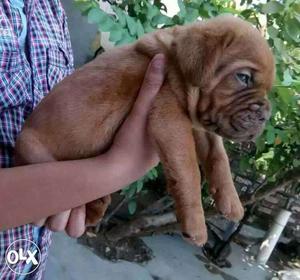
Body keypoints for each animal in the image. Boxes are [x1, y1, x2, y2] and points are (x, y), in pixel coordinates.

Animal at [15, 15, 276, 245]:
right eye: (243, 77)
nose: (265, 116)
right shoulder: (169, 118)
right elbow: (189, 170)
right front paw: (196, 225)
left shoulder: (200, 123)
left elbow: (218, 157)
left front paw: (231, 201)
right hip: (35, 154)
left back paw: (97, 207)